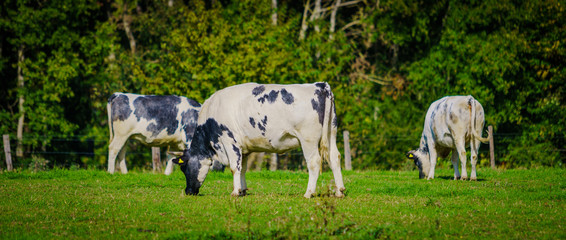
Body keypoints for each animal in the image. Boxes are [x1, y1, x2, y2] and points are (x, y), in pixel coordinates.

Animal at [173, 81, 346, 198]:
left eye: (183, 167)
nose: (188, 191)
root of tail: (320, 85)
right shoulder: (243, 148)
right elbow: (242, 168)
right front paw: (242, 190)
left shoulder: (229, 141)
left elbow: (234, 167)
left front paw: (235, 192)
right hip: (331, 133)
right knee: (334, 158)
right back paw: (340, 191)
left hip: (308, 139)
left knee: (314, 162)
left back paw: (308, 193)